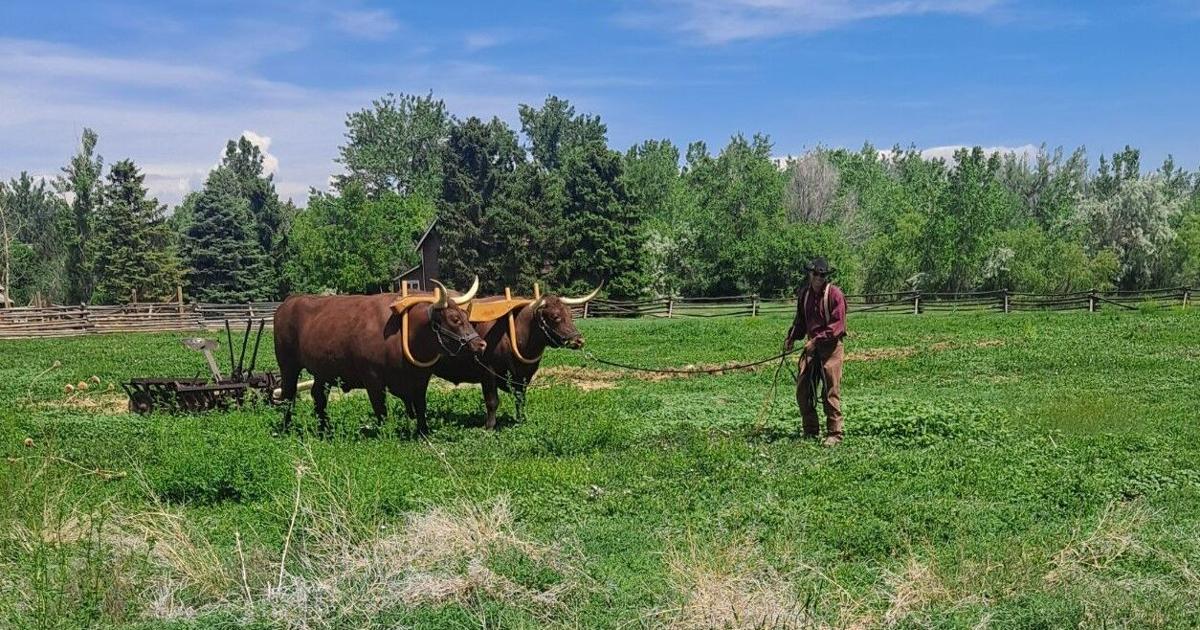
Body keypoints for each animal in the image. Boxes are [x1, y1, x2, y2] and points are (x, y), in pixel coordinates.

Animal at [273, 278, 485, 435]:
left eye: (466, 316)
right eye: (454, 319)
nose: (481, 344)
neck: (404, 332)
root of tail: (289, 301)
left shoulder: (421, 378)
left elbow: (421, 406)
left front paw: (423, 431)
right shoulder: (373, 379)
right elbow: (380, 409)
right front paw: (386, 434)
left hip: (323, 372)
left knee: (318, 396)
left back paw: (325, 428)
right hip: (288, 365)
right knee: (288, 395)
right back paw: (287, 428)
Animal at [410, 285, 601, 429]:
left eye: (570, 314)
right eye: (555, 316)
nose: (579, 340)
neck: (515, 334)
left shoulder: (524, 376)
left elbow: (520, 399)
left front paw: (521, 420)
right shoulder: (488, 373)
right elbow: (492, 401)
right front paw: (489, 427)